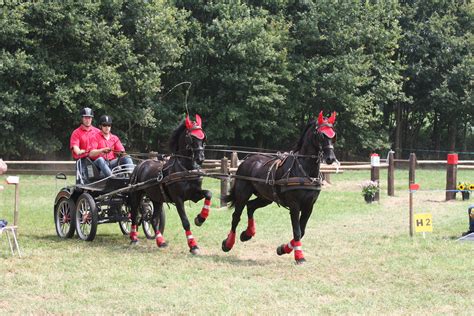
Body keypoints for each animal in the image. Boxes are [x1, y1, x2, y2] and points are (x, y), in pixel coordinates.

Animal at [129, 115, 212, 256]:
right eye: (191, 137)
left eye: (203, 137)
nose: (200, 158)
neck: (185, 169)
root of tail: (140, 164)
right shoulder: (178, 199)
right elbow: (185, 222)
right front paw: (193, 245)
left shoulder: (195, 194)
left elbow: (209, 194)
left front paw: (200, 218)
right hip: (137, 194)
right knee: (134, 215)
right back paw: (133, 238)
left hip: (156, 199)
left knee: (153, 219)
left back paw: (160, 241)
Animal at [222, 111, 336, 264]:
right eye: (321, 135)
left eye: (333, 135)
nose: (330, 158)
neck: (304, 170)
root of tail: (246, 161)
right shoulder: (295, 205)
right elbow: (297, 231)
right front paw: (299, 256)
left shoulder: (309, 206)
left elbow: (302, 231)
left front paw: (283, 249)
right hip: (242, 194)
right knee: (236, 216)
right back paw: (228, 243)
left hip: (266, 197)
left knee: (251, 206)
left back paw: (247, 234)